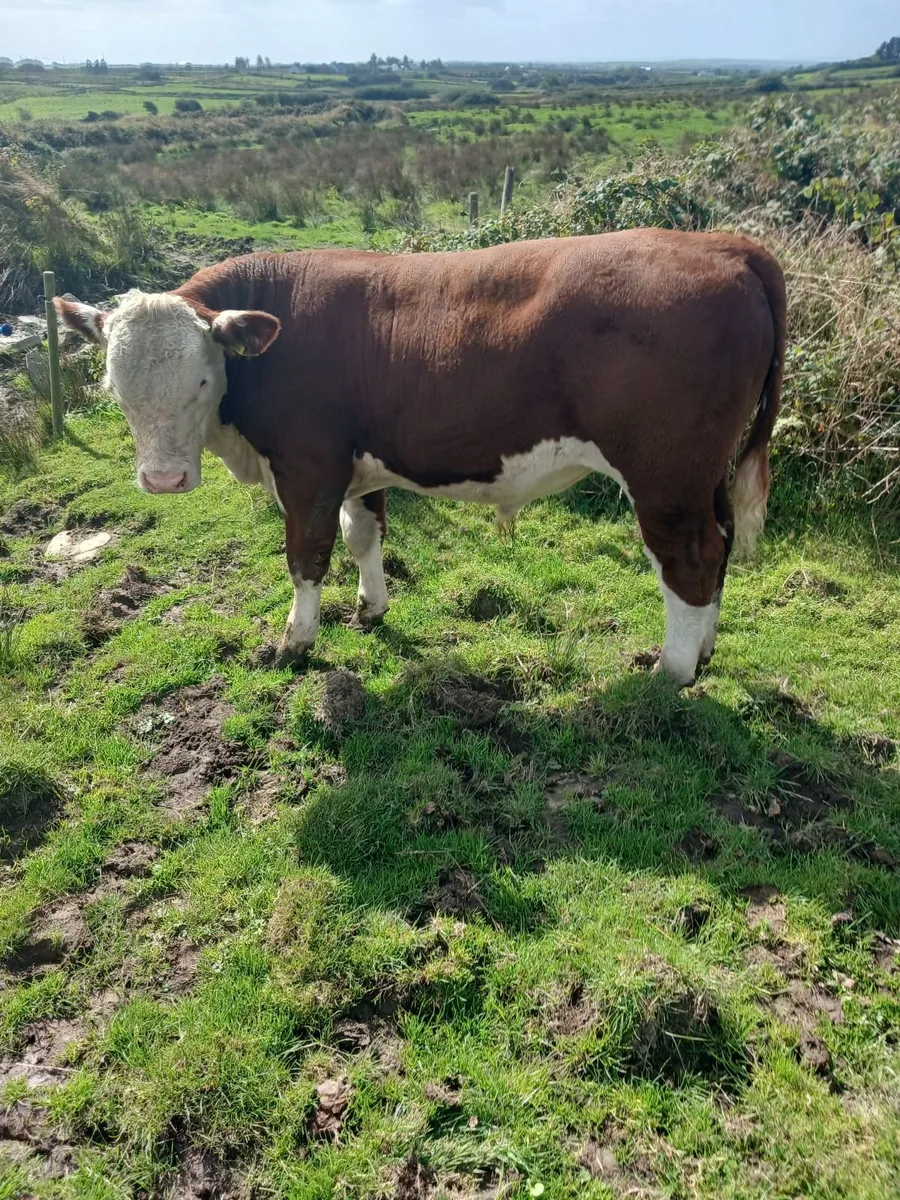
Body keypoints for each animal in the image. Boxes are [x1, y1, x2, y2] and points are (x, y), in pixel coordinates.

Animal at [56, 229, 786, 686]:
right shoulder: (356, 466)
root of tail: (725, 244)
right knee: (720, 544)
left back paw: (671, 671)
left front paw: (295, 642)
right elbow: (364, 535)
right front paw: (370, 609)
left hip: (665, 476)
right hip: (703, 477)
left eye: (204, 380)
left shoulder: (308, 467)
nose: (163, 480)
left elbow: (305, 557)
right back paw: (705, 651)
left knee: (690, 560)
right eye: (113, 384)